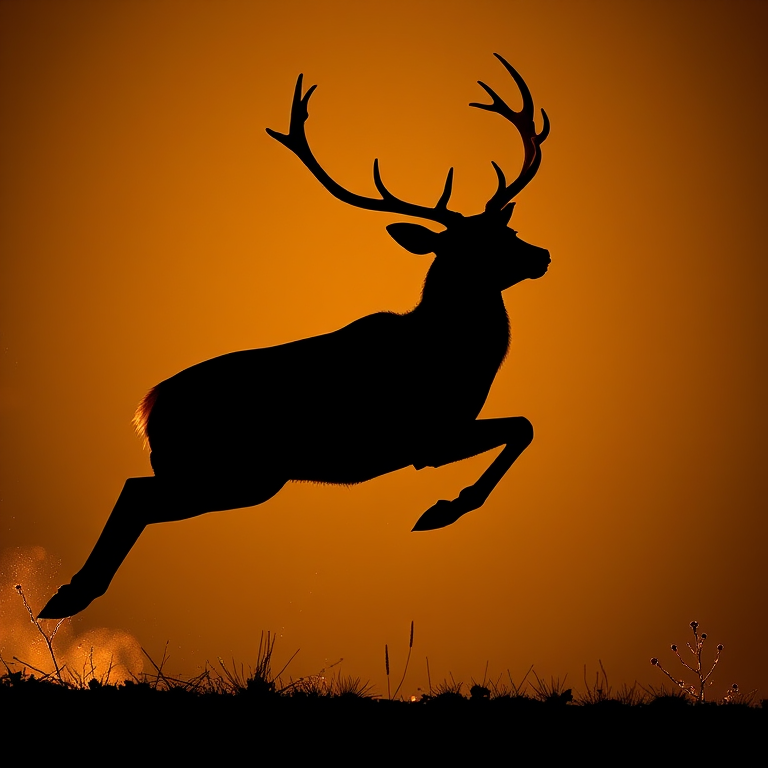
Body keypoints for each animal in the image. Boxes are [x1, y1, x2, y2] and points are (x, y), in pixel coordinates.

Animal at [39, 54, 551, 619]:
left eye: (506, 230)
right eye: (470, 245)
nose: (541, 255)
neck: (453, 355)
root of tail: (148, 411)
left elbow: (523, 427)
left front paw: (445, 506)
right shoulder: (428, 436)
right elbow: (523, 427)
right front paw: (443, 509)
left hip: (242, 477)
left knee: (139, 492)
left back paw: (67, 597)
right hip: (230, 471)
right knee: (136, 491)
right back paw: (69, 595)